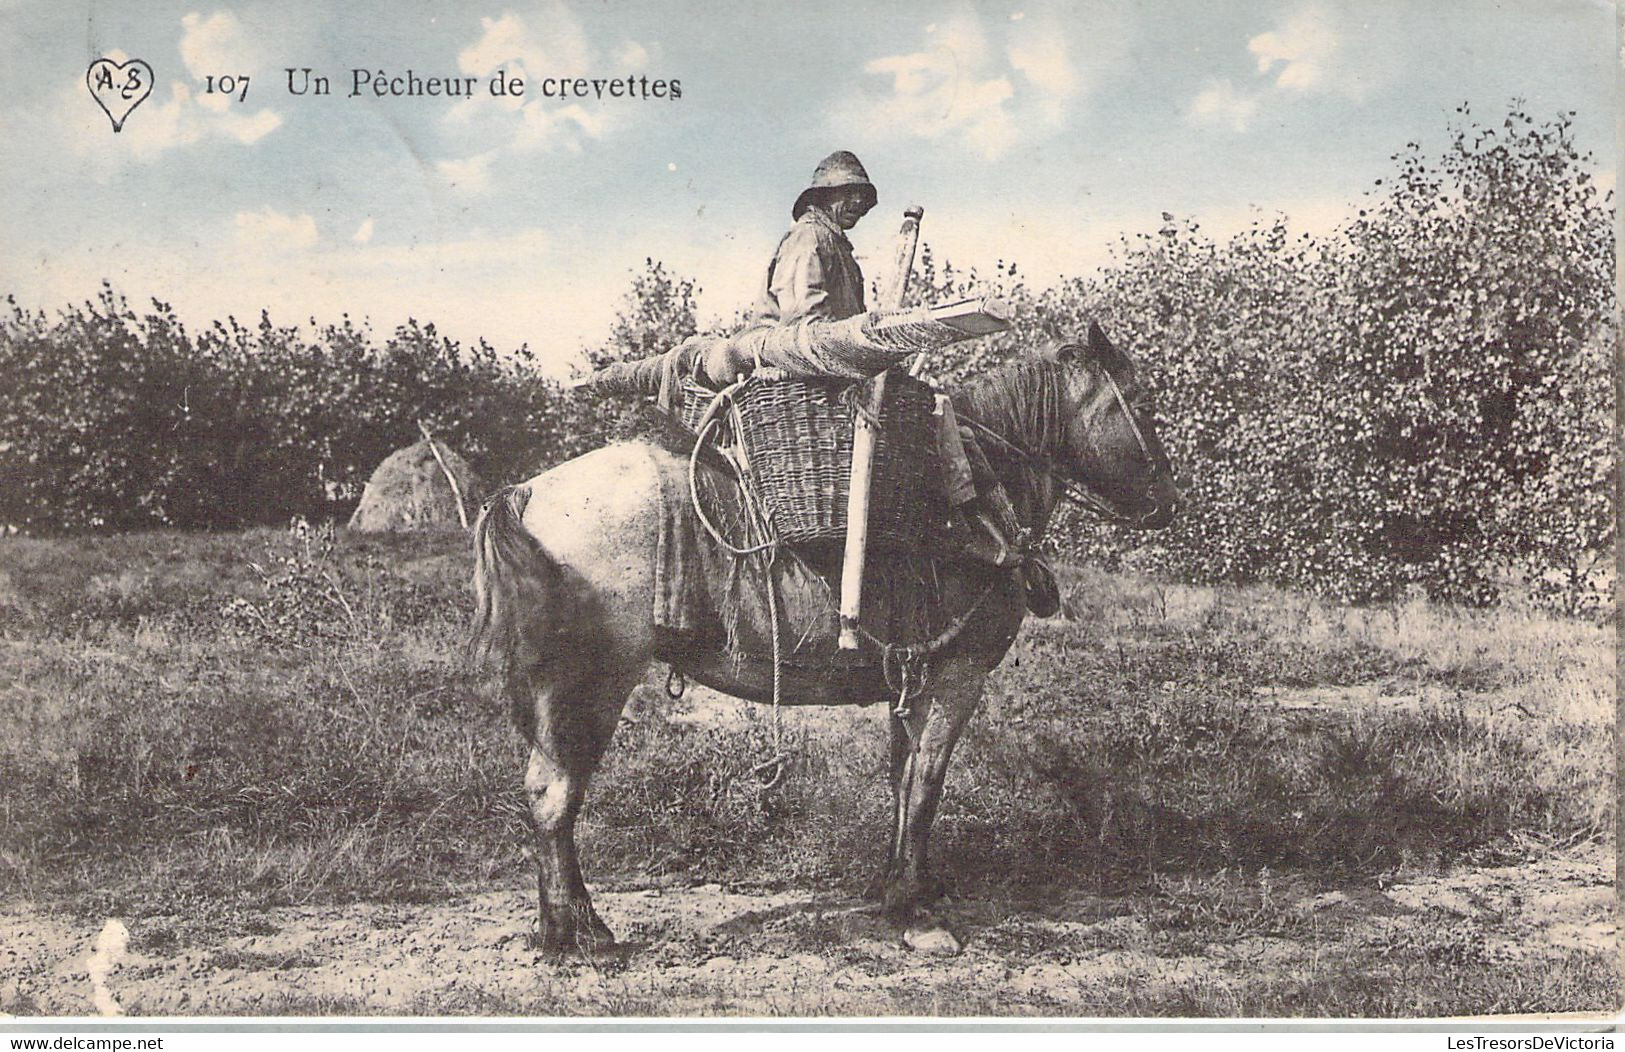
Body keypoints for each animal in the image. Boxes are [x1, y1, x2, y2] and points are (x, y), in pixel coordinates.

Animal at [474, 320, 1183, 956]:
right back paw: (581, 933)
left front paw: (900, 890)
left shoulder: (912, 679)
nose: (1169, 505)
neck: (976, 500)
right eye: (1142, 401)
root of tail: (526, 491)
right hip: (588, 684)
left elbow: (901, 779)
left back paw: (561, 928)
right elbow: (926, 786)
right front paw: (916, 911)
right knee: (553, 795)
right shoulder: (959, 677)